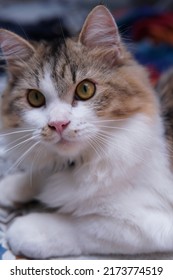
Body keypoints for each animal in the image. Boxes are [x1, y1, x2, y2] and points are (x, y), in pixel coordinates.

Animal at [0, 4, 173, 258]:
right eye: (35, 98)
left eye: (85, 89)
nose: (58, 124)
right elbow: (38, 176)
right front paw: (12, 186)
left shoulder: (148, 223)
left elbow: (82, 225)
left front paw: (26, 229)